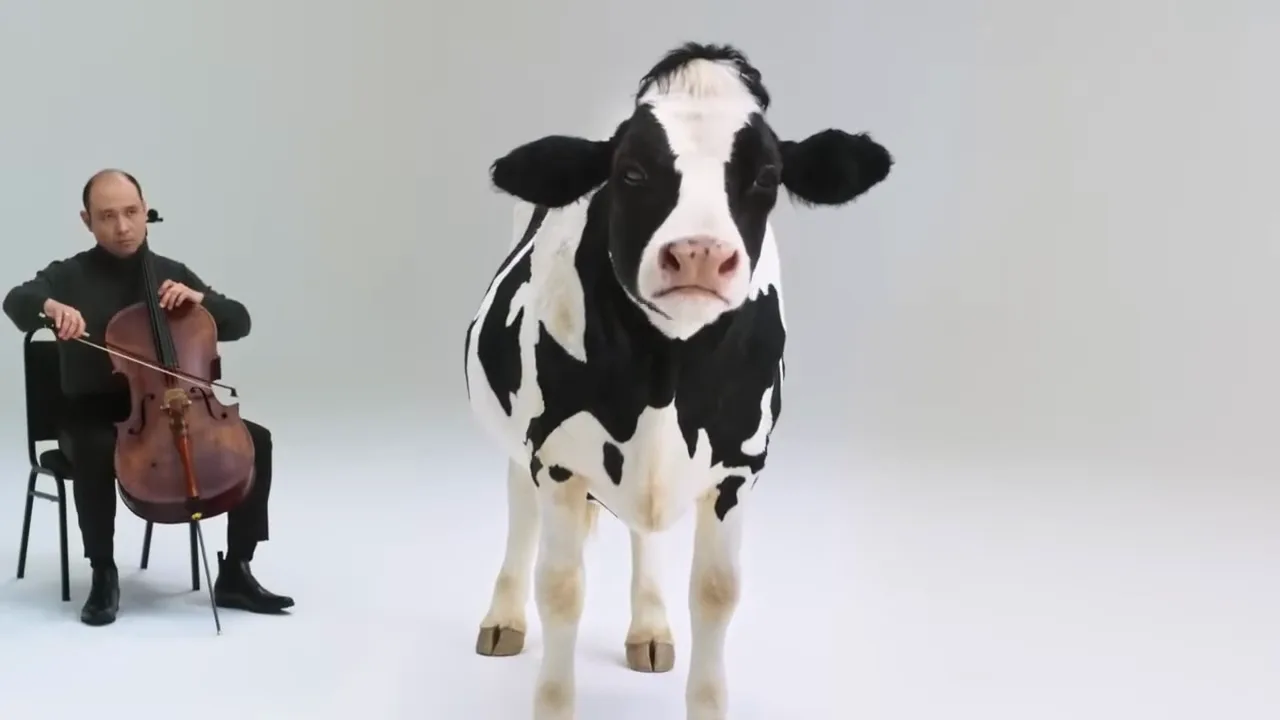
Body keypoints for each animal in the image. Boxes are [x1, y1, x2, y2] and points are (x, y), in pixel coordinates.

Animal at [463, 42, 892, 719]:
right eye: (631, 172)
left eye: (767, 176)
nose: (698, 253)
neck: (665, 375)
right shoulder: (556, 459)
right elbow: (560, 587)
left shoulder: (738, 468)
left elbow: (716, 591)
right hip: (518, 442)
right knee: (519, 512)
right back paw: (503, 619)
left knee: (646, 536)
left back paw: (649, 630)